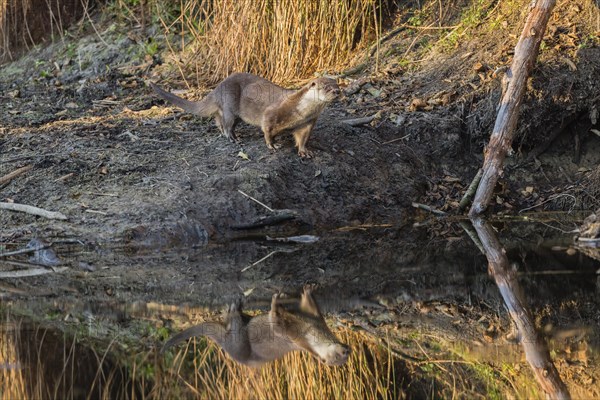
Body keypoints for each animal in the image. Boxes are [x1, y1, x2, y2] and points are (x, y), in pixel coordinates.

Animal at [148, 72, 340, 157]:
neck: (299, 111)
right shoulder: (272, 113)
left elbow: (302, 138)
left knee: (218, 119)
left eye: (336, 85)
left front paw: (304, 151)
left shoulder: (308, 122)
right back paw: (232, 138)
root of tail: (218, 87)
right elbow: (267, 129)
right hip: (230, 104)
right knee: (226, 122)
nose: (337, 91)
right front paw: (272, 145)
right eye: (326, 87)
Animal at [163, 284, 352, 366]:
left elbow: (275, 321)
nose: (345, 351)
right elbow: (309, 307)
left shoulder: (294, 334)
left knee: (234, 328)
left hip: (239, 343)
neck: (310, 331)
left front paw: (276, 302)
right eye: (337, 357)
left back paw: (233, 309)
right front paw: (307, 291)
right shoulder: (313, 320)